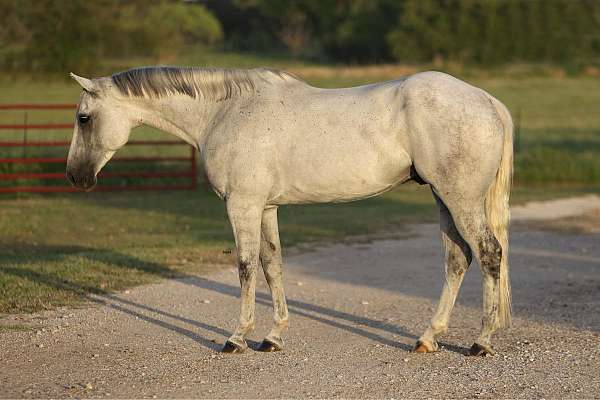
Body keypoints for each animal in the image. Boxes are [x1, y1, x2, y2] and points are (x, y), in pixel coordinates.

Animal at [69, 67, 510, 358]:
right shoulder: (266, 207)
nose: (76, 176)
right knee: (458, 259)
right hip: (443, 198)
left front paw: (237, 337)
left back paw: (482, 342)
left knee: (489, 254)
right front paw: (273, 336)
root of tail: (488, 101)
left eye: (83, 118)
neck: (226, 112)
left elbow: (246, 266)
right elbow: (272, 265)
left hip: (459, 198)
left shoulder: (242, 205)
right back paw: (428, 337)